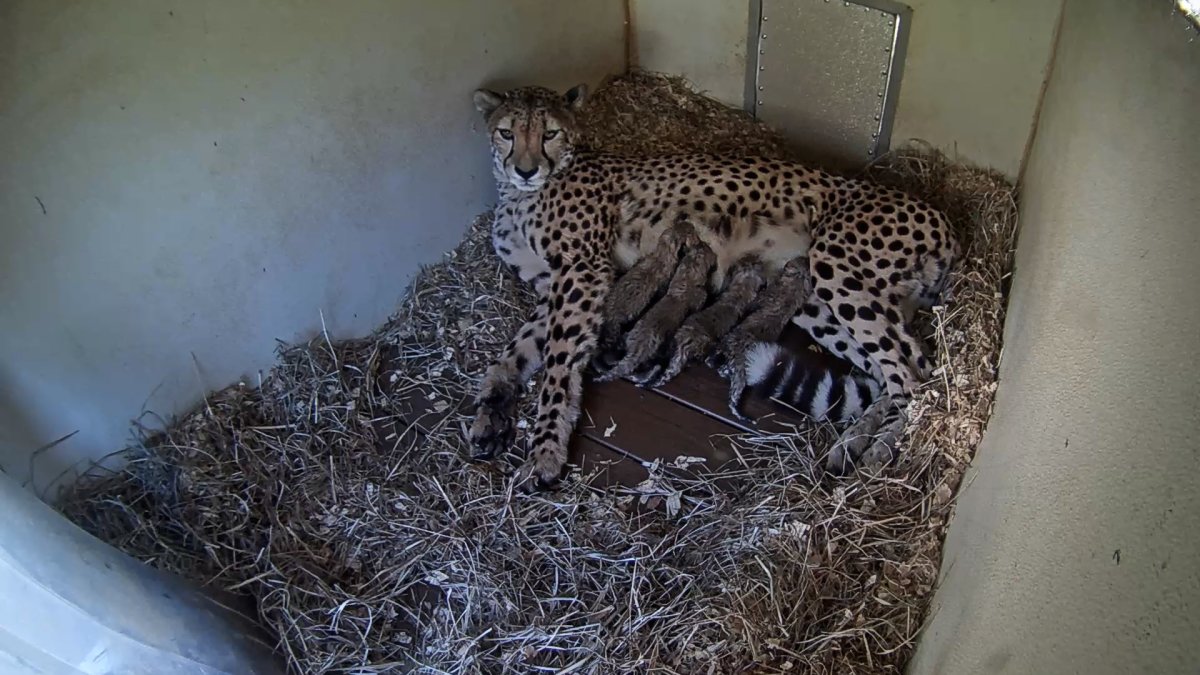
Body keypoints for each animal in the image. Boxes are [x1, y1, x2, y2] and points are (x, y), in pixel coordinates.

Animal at [468, 83, 959, 488]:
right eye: (507, 133)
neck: (519, 195)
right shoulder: (554, 285)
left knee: (915, 373)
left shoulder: (581, 272)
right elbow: (515, 352)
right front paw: (491, 409)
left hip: (837, 269)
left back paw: (875, 449)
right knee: (892, 373)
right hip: (818, 300)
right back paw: (853, 443)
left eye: (550, 133)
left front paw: (546, 450)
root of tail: (942, 219)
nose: (526, 169)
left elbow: (557, 363)